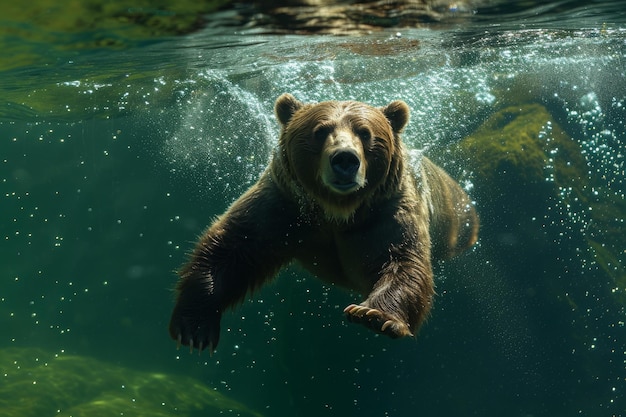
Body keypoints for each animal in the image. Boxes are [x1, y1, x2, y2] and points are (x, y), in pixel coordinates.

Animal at [168, 93, 476, 352]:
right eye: (320, 131)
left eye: (365, 133)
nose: (345, 159)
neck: (336, 211)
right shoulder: (283, 205)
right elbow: (233, 246)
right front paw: (194, 325)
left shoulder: (388, 211)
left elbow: (404, 260)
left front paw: (374, 315)